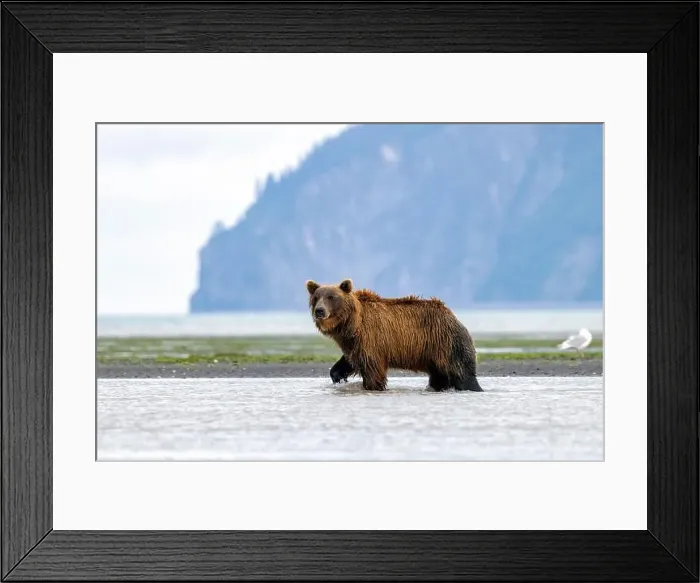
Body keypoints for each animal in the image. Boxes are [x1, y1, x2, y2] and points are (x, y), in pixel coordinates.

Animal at [305, 278, 483, 392]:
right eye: (316, 297)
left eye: (331, 297)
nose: (319, 311)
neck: (351, 324)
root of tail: (452, 315)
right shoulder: (353, 344)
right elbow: (349, 361)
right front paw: (338, 377)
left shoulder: (371, 339)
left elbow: (372, 370)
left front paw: (372, 386)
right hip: (434, 356)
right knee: (439, 377)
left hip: (448, 344)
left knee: (463, 375)